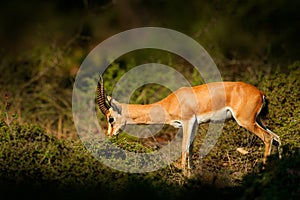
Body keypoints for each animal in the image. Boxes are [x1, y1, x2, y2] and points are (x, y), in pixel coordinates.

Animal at [96, 77, 282, 171]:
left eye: (110, 119)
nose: (109, 135)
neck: (169, 103)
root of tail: (260, 93)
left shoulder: (188, 122)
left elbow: (184, 148)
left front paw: (184, 175)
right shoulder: (195, 125)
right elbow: (191, 148)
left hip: (246, 121)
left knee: (267, 138)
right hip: (258, 120)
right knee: (276, 137)